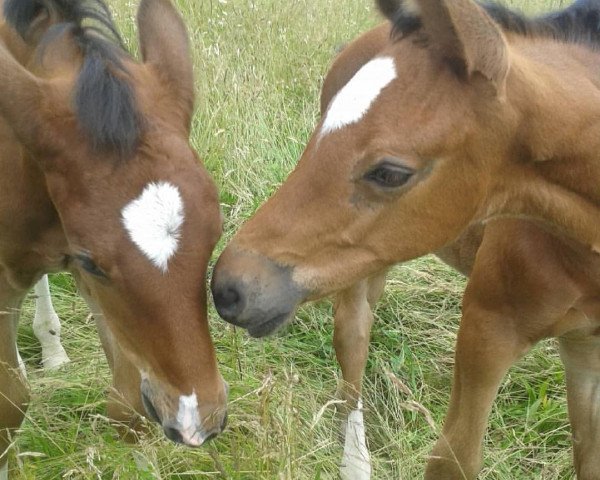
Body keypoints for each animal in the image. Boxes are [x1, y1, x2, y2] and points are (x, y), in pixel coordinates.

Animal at [212, 0, 600, 476]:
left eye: (390, 173)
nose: (229, 287)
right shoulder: (488, 326)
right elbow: (453, 460)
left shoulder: (585, 349)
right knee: (353, 335)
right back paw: (355, 462)